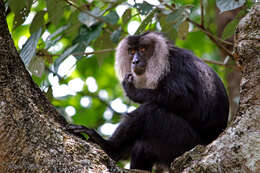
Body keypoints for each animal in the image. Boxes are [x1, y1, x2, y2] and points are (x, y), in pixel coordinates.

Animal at [68, 31, 229, 172]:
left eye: (143, 49)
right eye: (132, 51)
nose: (135, 61)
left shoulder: (175, 67)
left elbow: (182, 99)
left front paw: (132, 91)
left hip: (185, 144)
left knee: (150, 111)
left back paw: (109, 147)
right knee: (142, 145)